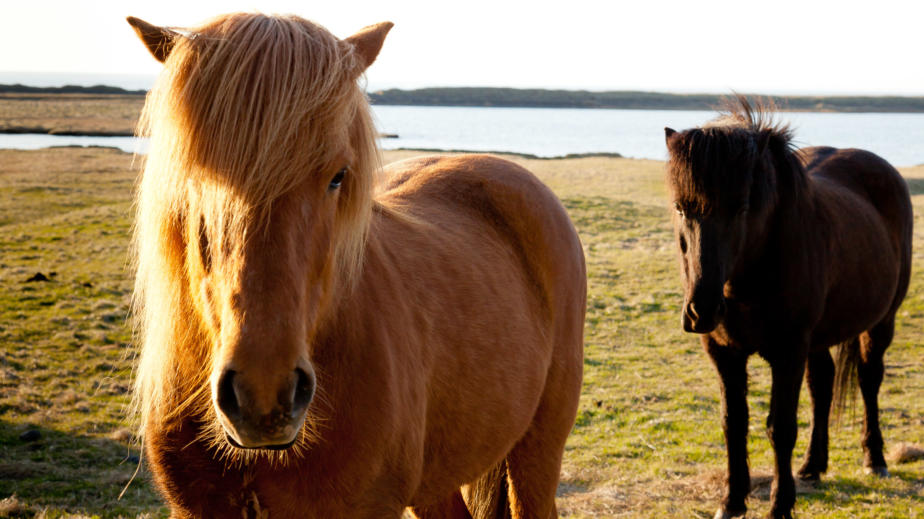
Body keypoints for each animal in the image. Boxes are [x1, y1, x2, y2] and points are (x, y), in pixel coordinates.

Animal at [664, 98, 908, 519]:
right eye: (681, 208)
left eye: (742, 207)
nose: (701, 311)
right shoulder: (724, 353)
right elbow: (734, 423)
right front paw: (732, 501)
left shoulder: (788, 351)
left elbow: (780, 427)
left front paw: (780, 506)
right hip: (820, 337)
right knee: (823, 386)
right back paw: (813, 465)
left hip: (880, 323)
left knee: (869, 380)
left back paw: (874, 459)